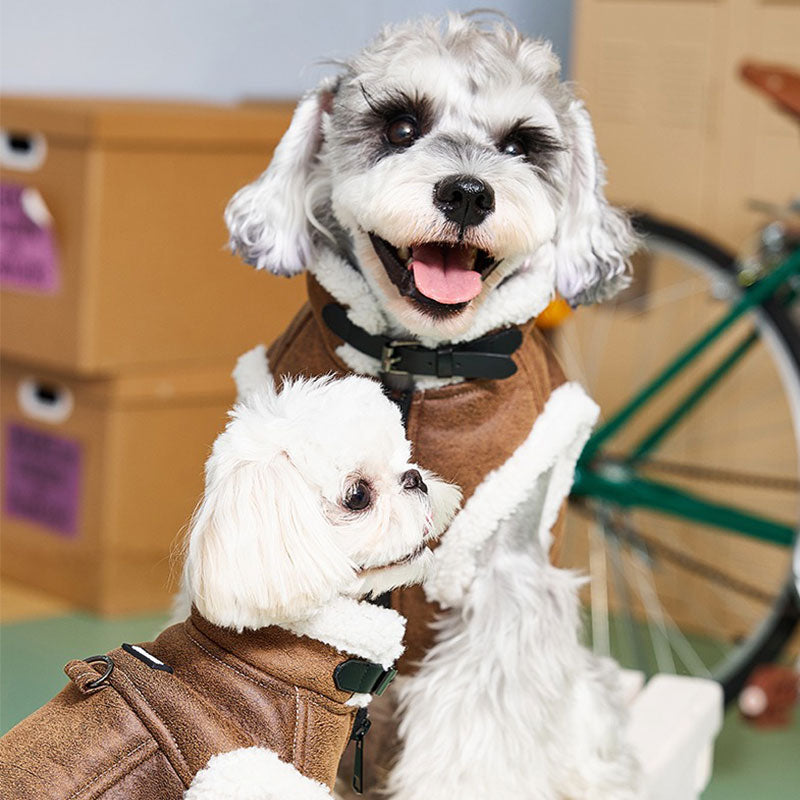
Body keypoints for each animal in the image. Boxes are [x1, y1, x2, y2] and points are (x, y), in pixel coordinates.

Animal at [222, 12, 640, 800]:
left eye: (519, 145)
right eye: (401, 126)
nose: (469, 193)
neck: (415, 361)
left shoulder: (504, 586)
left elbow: (485, 743)